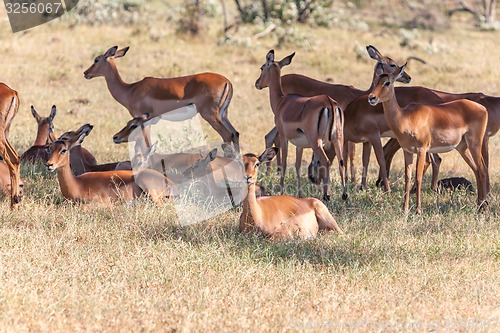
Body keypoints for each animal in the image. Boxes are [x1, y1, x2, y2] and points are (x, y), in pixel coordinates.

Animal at [84, 45, 240, 150]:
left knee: (227, 135)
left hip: (210, 115)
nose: (86, 73)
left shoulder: (141, 119)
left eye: (96, 59)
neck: (130, 90)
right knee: (235, 133)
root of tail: (227, 81)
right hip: (222, 114)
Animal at [256, 49, 346, 200]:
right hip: (337, 139)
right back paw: (345, 195)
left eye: (262, 67)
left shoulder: (283, 137)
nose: (257, 83)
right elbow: (297, 165)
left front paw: (281, 191)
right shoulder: (300, 145)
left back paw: (326, 195)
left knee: (326, 162)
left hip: (317, 142)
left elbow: (285, 163)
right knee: (341, 162)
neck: (281, 102)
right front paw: (299, 194)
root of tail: (329, 102)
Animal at [368, 63, 488, 214]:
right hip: (462, 148)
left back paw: (483, 207)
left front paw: (418, 210)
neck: (406, 118)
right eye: (374, 82)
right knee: (476, 170)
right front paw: (405, 209)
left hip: (474, 144)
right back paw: (479, 205)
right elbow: (408, 178)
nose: (371, 98)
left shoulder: (422, 149)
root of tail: (482, 108)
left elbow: (419, 177)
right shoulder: (407, 151)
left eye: (387, 82)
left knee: (482, 169)